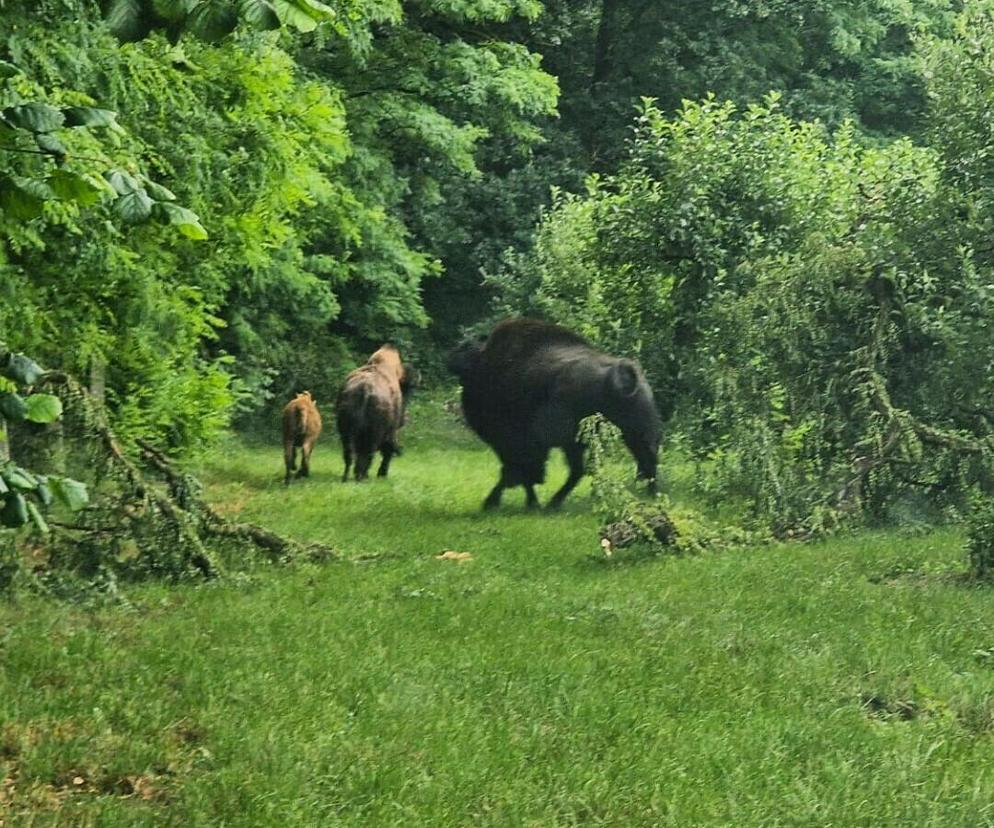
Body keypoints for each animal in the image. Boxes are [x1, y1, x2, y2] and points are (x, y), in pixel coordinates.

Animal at [336, 344, 408, 486]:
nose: (403, 420)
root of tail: (365, 388)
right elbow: (387, 449)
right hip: (374, 433)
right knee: (368, 454)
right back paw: (362, 477)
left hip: (346, 432)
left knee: (350, 453)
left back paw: (347, 477)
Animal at [450, 318, 660, 508]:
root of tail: (621, 370)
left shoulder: (517, 443)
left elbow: (514, 470)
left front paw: (497, 501)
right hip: (632, 434)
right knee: (645, 463)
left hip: (581, 440)